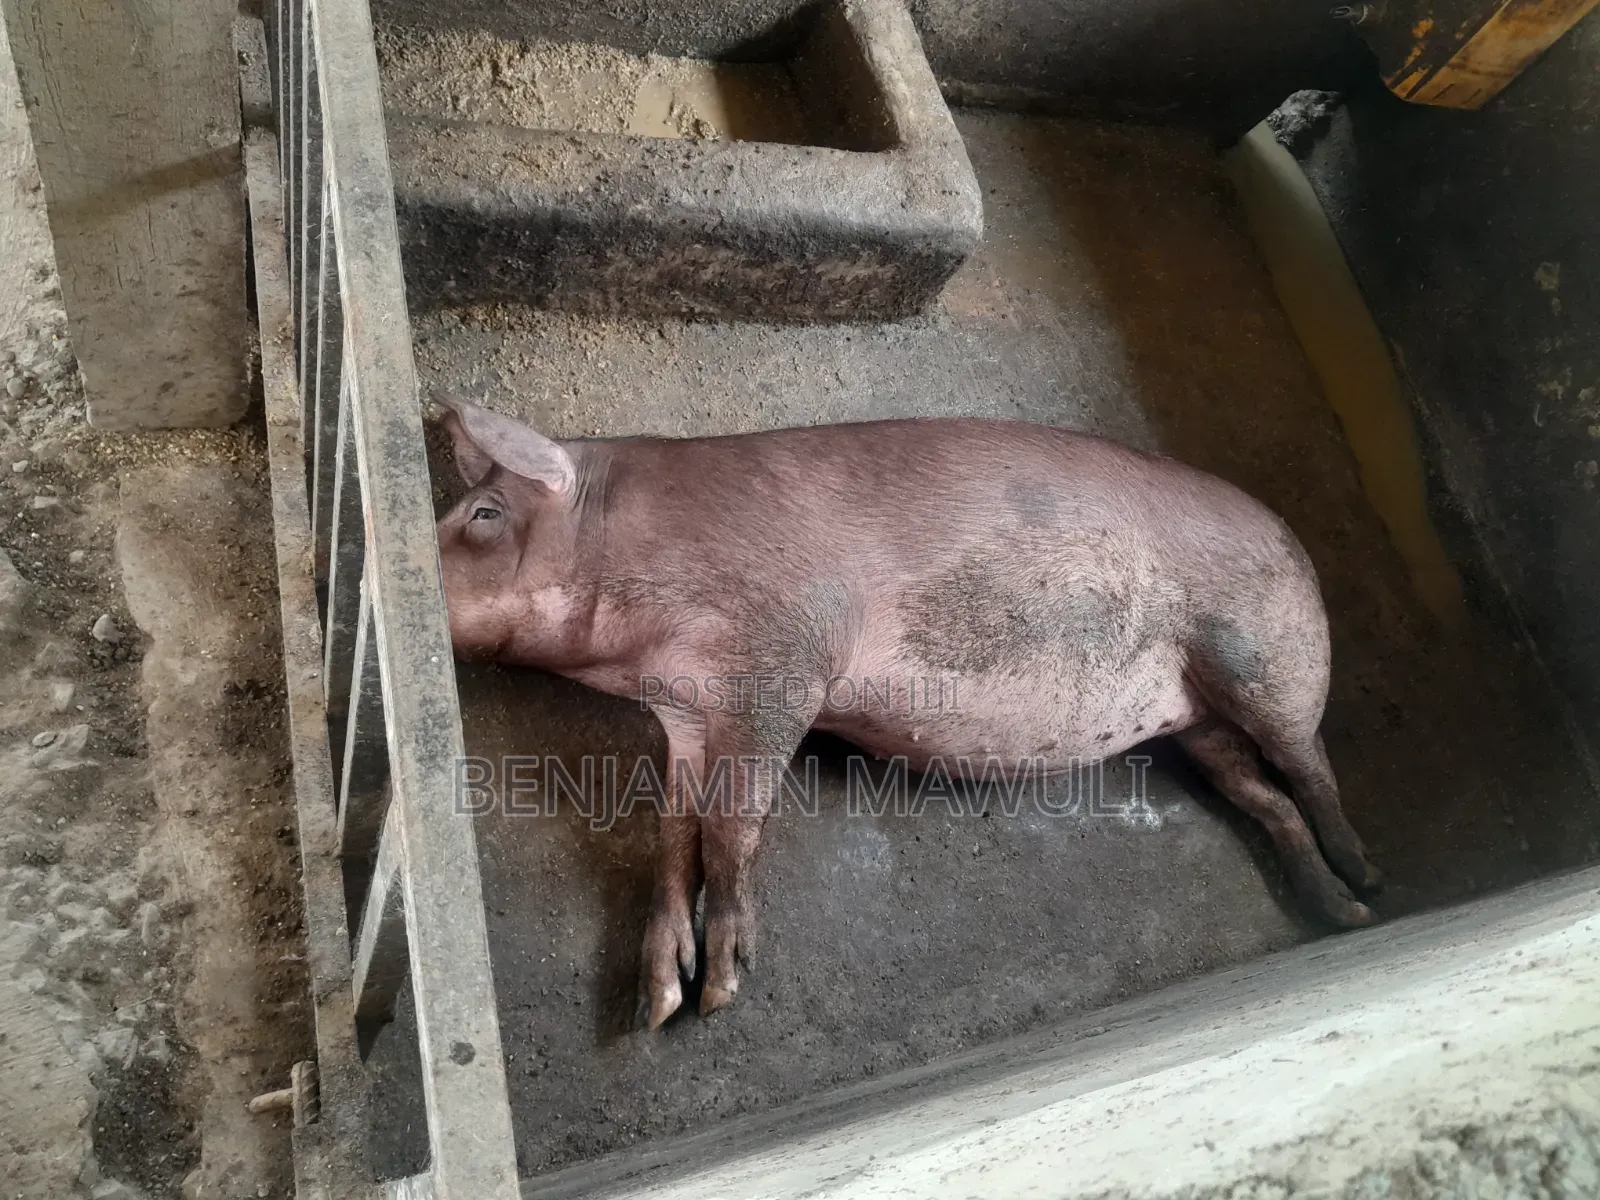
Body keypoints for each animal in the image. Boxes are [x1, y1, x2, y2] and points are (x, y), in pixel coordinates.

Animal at [433, 397, 1381, 1030]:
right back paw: (1340, 911)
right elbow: (673, 836)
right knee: (1263, 794)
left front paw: (722, 994)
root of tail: (1294, 540)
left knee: (1311, 765)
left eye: (482, 513)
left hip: (1267, 657)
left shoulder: (784, 660)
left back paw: (1366, 882)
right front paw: (656, 1005)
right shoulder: (688, 714)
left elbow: (733, 826)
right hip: (1199, 725)